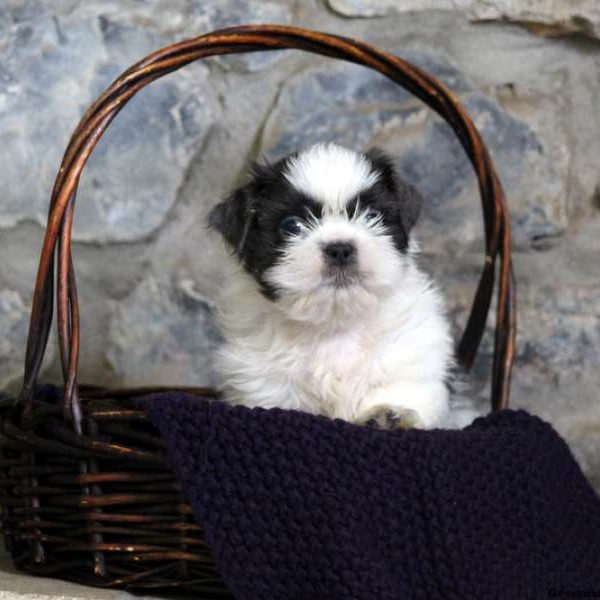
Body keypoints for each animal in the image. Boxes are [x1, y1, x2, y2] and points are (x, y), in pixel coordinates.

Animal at [209, 143, 452, 428]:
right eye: (292, 226)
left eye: (372, 216)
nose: (340, 249)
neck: (334, 325)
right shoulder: (263, 384)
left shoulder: (411, 358)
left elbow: (402, 391)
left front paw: (389, 413)